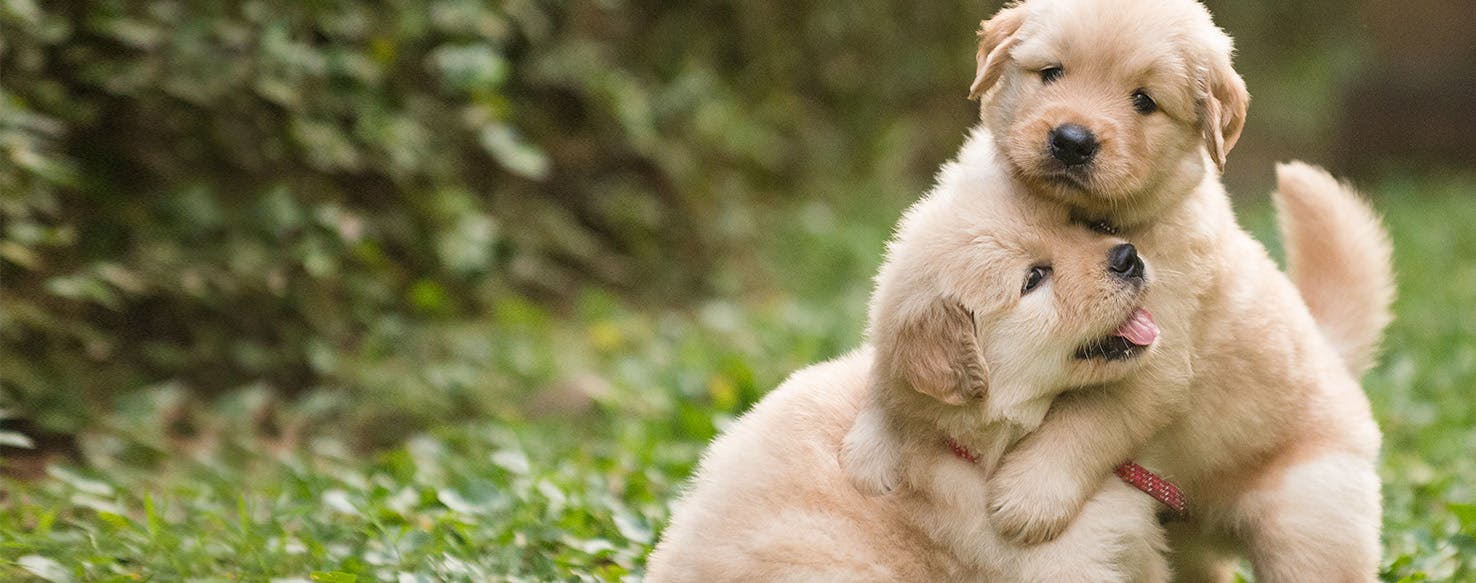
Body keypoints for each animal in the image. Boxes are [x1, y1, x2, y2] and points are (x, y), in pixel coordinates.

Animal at [968, 1, 1393, 578]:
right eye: (1051, 72)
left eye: (1143, 101)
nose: (1072, 141)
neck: (1084, 221)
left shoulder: (1156, 358)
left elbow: (1087, 419)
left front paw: (1028, 498)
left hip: (1307, 521)